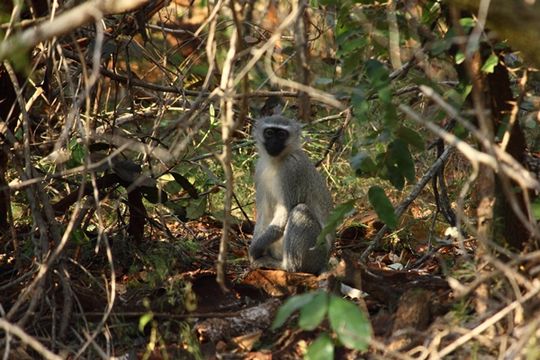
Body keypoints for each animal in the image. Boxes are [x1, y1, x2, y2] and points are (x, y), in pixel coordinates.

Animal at [249, 115, 334, 272]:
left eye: (282, 135)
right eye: (269, 133)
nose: (274, 143)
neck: (276, 162)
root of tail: (324, 262)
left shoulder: (292, 169)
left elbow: (285, 212)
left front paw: (254, 251)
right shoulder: (260, 169)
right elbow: (263, 212)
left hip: (315, 252)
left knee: (300, 210)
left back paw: (286, 266)